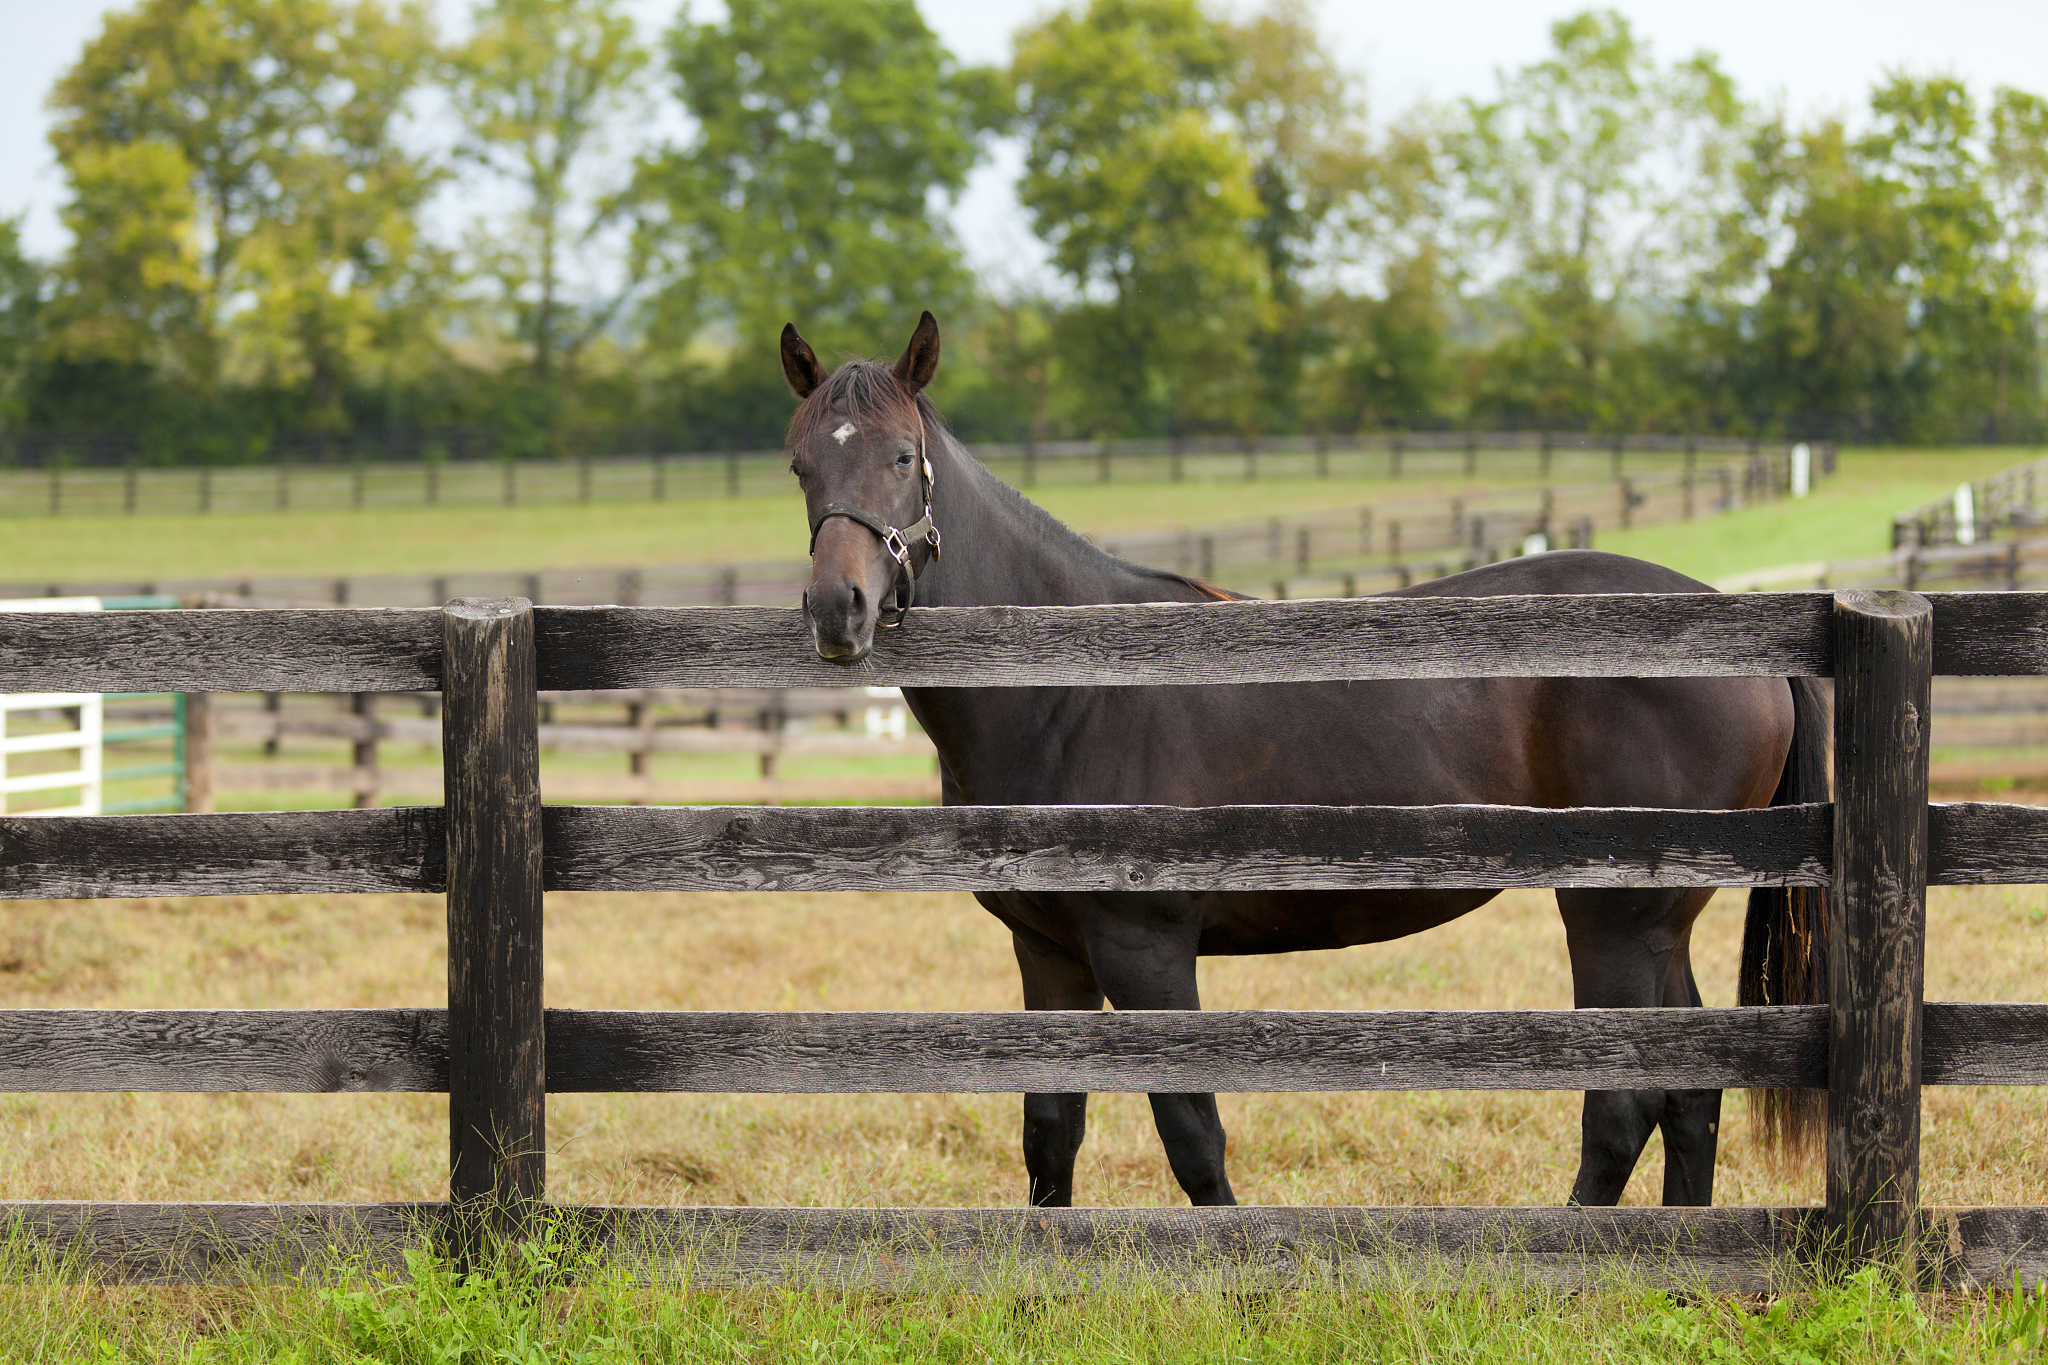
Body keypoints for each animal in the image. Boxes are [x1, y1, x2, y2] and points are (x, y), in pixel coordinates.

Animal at [779, 311, 1828, 1209]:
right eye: (799, 465)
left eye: (902, 455)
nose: (839, 611)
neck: (1074, 686)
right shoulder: (1050, 952)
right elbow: (1050, 1134)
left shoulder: (1147, 946)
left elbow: (1191, 1134)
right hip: (1660, 924)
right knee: (1690, 1095)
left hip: (1615, 919)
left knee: (1622, 1107)